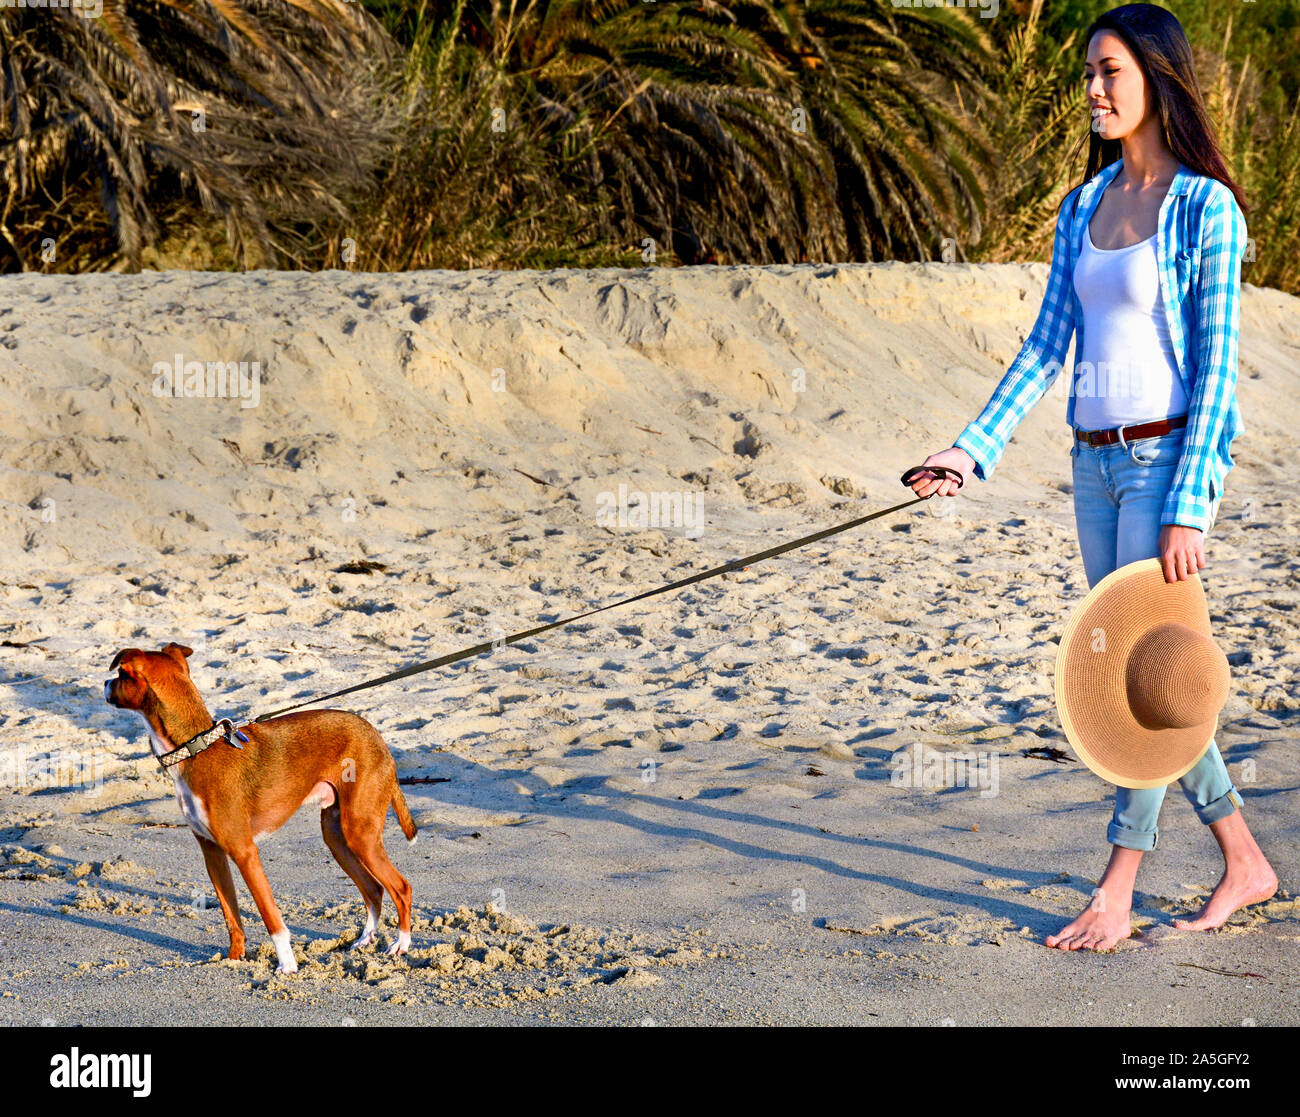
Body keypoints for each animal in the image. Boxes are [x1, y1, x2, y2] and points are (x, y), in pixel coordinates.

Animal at [108, 642, 418, 972]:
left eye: (120, 675)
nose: (104, 685)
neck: (197, 750)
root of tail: (378, 737)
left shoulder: (245, 853)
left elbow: (271, 918)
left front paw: (287, 966)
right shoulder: (213, 853)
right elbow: (232, 917)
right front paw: (233, 959)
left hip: (359, 833)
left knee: (401, 887)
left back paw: (401, 944)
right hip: (337, 837)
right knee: (373, 889)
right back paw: (364, 939)